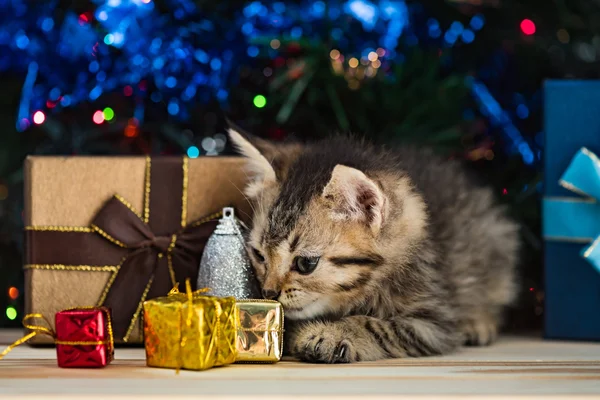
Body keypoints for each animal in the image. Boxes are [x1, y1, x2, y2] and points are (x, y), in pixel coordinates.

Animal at [227, 127, 516, 362]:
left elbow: (377, 325)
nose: (268, 292)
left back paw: (479, 322)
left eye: (306, 263)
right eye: (259, 255)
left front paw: (333, 333)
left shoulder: (434, 321)